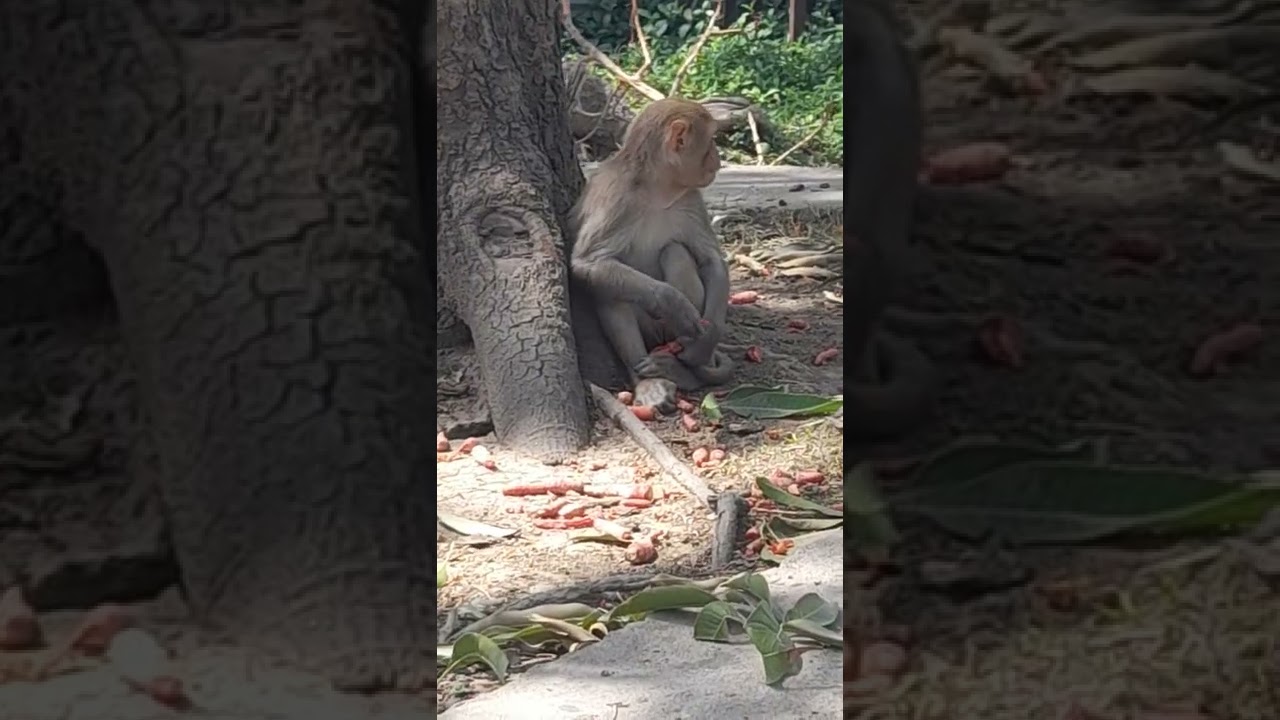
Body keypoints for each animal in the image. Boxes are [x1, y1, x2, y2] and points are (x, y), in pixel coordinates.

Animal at [570, 98, 734, 413]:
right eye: (710, 141)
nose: (718, 160)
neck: (658, 189)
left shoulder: (691, 197)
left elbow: (711, 261)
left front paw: (708, 338)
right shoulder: (616, 198)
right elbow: (589, 263)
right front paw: (672, 302)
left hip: (666, 334)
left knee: (675, 252)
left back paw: (682, 367)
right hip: (650, 330)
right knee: (609, 286)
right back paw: (649, 381)